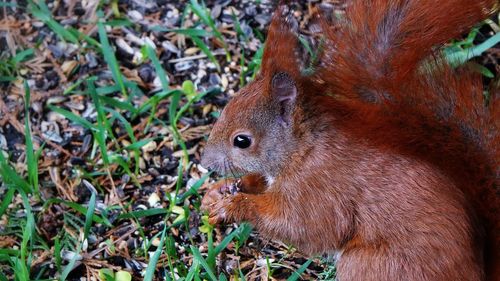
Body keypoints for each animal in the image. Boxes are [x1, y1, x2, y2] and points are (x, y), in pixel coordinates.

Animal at [200, 0, 500, 278]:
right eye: (225, 108)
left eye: (242, 141)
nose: (205, 162)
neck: (303, 152)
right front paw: (220, 190)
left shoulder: (319, 191)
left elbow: (299, 226)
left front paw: (233, 205)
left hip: (373, 265)